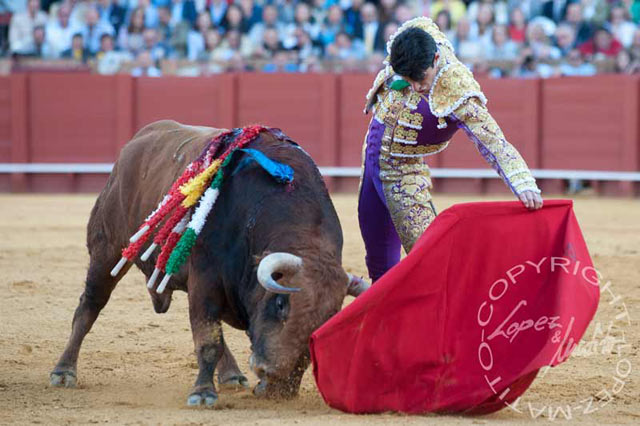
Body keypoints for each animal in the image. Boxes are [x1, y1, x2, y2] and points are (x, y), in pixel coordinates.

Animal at [49, 120, 368, 406]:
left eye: (329, 318)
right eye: (281, 303)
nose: (279, 384)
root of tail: (134, 144)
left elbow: (217, 332)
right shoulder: (206, 277)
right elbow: (208, 339)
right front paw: (202, 393)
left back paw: (232, 375)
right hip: (108, 251)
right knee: (90, 306)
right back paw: (64, 372)